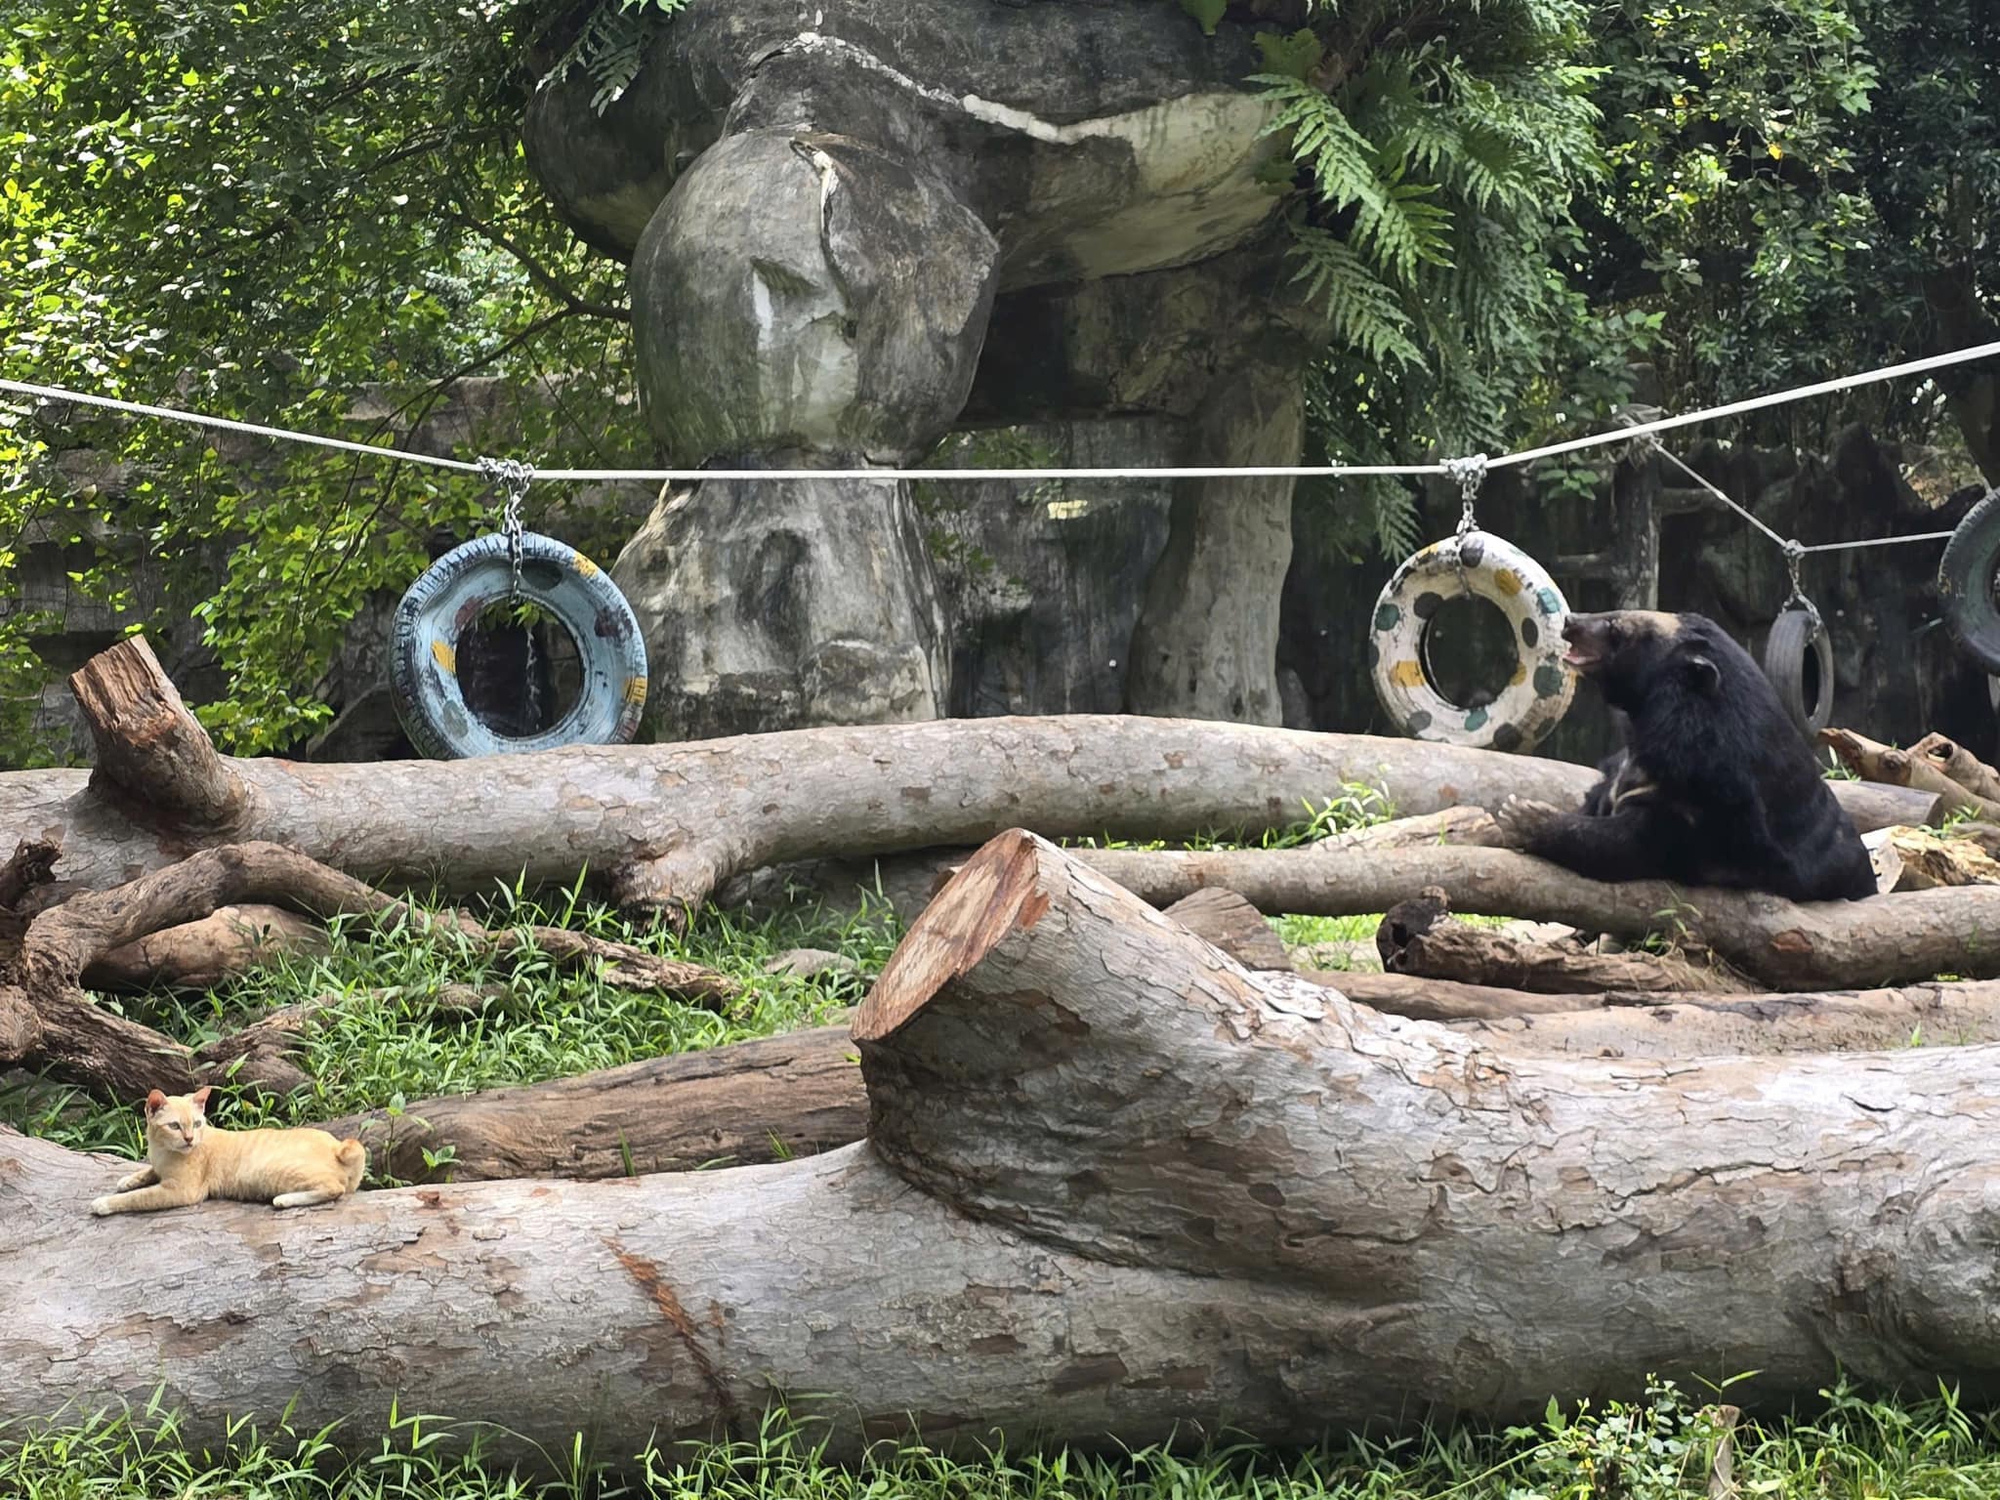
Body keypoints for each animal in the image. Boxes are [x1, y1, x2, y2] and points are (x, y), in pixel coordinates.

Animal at [90, 1088, 368, 1216]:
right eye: (175, 1126)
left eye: (197, 1124)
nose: (189, 1139)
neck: (162, 1150)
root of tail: (337, 1145)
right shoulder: (158, 1167)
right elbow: (146, 1172)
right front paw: (128, 1179)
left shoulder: (182, 1191)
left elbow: (137, 1197)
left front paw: (104, 1203)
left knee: (334, 1189)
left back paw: (285, 1199)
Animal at [1504, 612, 1872, 904]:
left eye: (1616, 626)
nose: (1569, 620)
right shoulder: (1626, 770)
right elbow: (1599, 801)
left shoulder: (1709, 796)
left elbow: (1632, 843)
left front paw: (1521, 814)